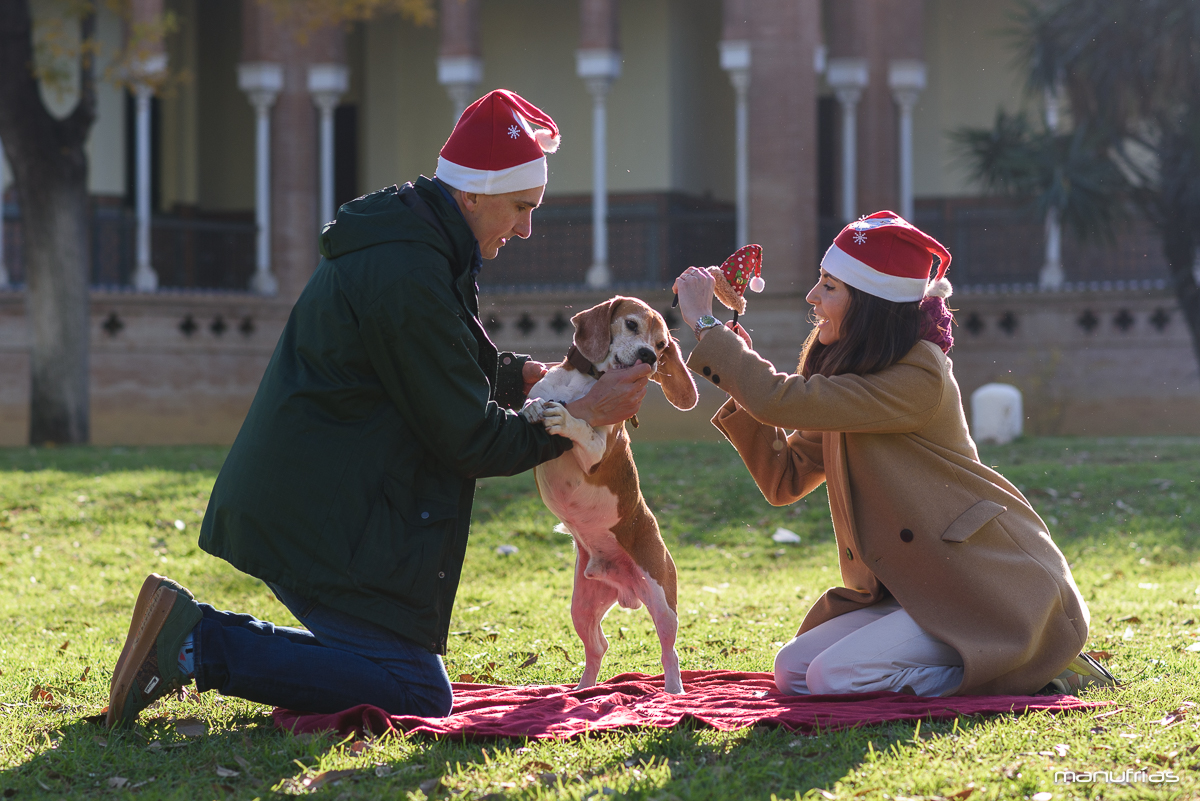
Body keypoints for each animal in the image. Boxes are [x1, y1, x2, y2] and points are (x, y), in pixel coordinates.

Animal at [520, 296, 700, 695]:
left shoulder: (596, 453)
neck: (585, 381)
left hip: (662, 603)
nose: (649, 355)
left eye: (662, 345)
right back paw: (584, 690)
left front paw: (566, 419)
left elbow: (583, 429)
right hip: (582, 607)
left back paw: (674, 693)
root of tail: (624, 587)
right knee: (598, 647)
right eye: (632, 324)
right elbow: (534, 401)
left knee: (669, 652)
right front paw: (534, 406)